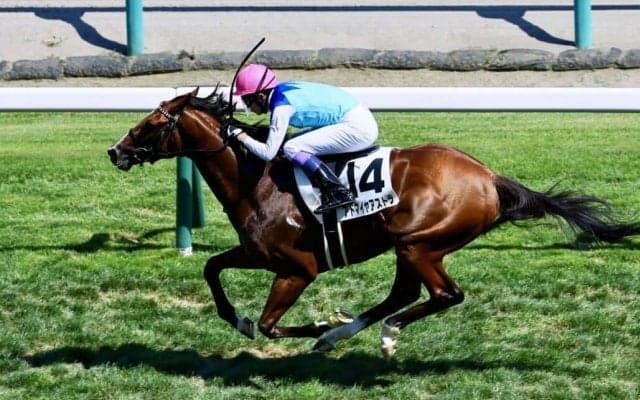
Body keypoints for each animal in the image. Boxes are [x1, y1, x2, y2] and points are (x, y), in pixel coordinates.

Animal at [107, 87, 640, 358]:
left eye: (151, 124)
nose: (115, 151)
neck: (255, 179)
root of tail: (488, 176)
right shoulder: (258, 254)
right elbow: (212, 269)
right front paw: (239, 319)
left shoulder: (297, 269)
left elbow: (272, 325)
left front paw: (317, 326)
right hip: (411, 245)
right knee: (406, 293)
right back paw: (354, 331)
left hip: (420, 242)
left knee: (444, 294)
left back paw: (372, 334)